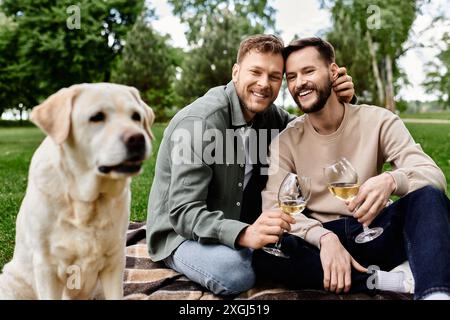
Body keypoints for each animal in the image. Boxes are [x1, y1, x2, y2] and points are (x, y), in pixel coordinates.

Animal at [0, 83, 155, 300]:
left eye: (136, 116)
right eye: (97, 117)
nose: (137, 138)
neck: (85, 201)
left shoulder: (115, 259)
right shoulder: (47, 267)